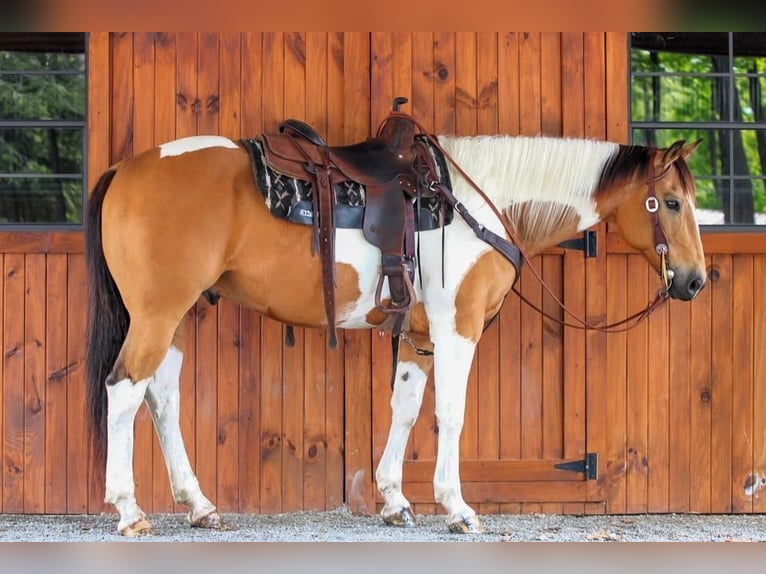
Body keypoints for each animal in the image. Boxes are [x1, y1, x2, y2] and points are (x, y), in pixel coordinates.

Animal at [84, 111, 706, 536]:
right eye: (672, 203)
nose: (696, 281)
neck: (474, 201)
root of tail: (126, 167)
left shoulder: (420, 337)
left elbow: (405, 410)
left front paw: (394, 500)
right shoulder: (458, 327)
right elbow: (449, 415)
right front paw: (457, 508)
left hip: (177, 316)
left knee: (161, 398)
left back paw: (200, 506)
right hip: (158, 314)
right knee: (124, 388)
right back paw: (129, 511)